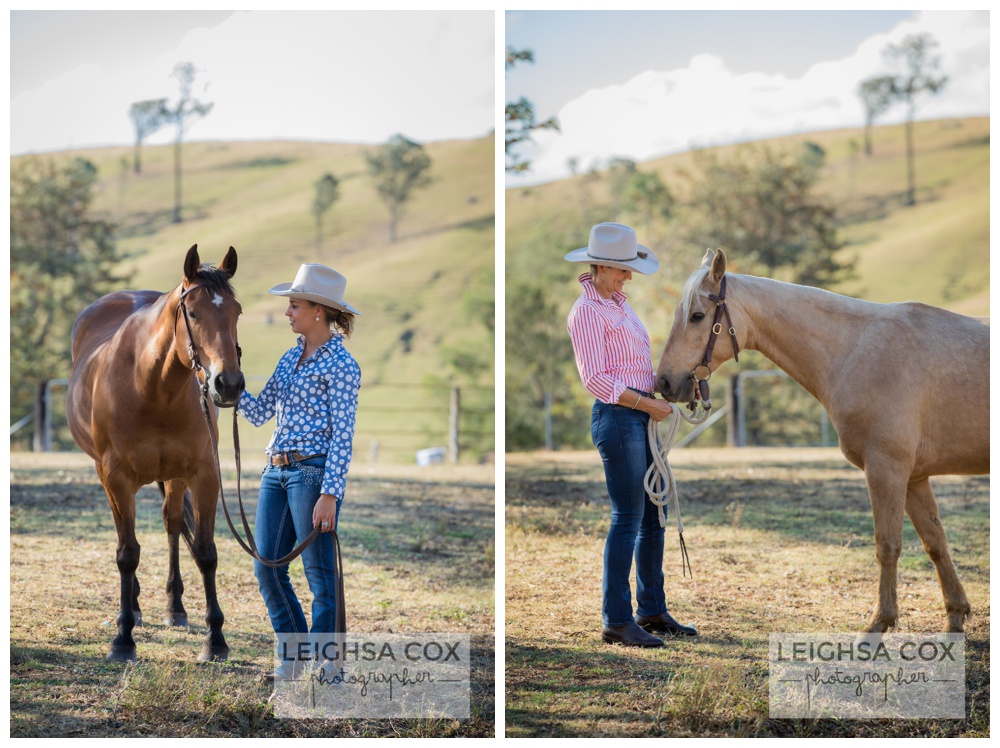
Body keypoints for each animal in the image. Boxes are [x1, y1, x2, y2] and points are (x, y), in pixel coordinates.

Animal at [66, 245, 244, 660]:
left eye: (236, 312)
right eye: (192, 312)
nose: (227, 384)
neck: (152, 387)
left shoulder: (203, 474)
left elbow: (206, 552)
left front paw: (215, 640)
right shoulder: (115, 478)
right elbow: (127, 553)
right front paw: (123, 638)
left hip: (175, 477)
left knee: (172, 524)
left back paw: (174, 608)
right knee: (128, 540)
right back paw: (131, 608)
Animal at [652, 250, 988, 632]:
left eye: (697, 316)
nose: (664, 382)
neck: (857, 351)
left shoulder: (886, 470)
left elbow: (887, 545)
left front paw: (880, 622)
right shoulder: (915, 478)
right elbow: (936, 543)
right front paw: (956, 616)